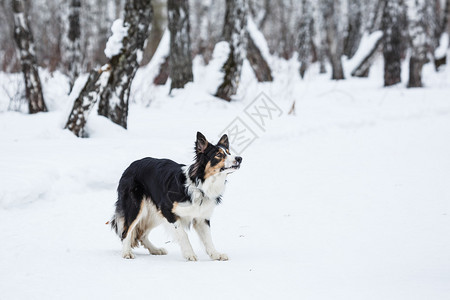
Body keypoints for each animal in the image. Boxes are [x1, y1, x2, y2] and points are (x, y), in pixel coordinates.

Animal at [110, 132, 243, 260]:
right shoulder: (167, 209)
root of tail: (130, 166)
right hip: (136, 207)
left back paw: (155, 250)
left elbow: (208, 238)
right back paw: (127, 253)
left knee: (141, 234)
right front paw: (189, 254)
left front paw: (215, 254)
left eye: (229, 153)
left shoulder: (201, 217)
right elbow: (183, 234)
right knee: (126, 231)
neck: (200, 184)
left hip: (154, 212)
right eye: (219, 155)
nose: (239, 158)